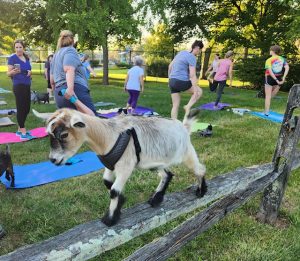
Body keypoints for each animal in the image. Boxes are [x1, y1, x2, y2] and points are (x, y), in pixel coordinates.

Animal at [32, 107, 206, 225]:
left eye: (64, 134)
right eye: (49, 134)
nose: (53, 159)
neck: (109, 136)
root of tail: (184, 127)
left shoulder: (125, 166)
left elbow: (114, 189)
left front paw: (110, 218)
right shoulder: (110, 165)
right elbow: (108, 183)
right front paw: (121, 202)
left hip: (187, 153)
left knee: (199, 169)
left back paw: (201, 191)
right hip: (154, 162)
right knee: (166, 174)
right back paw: (156, 198)